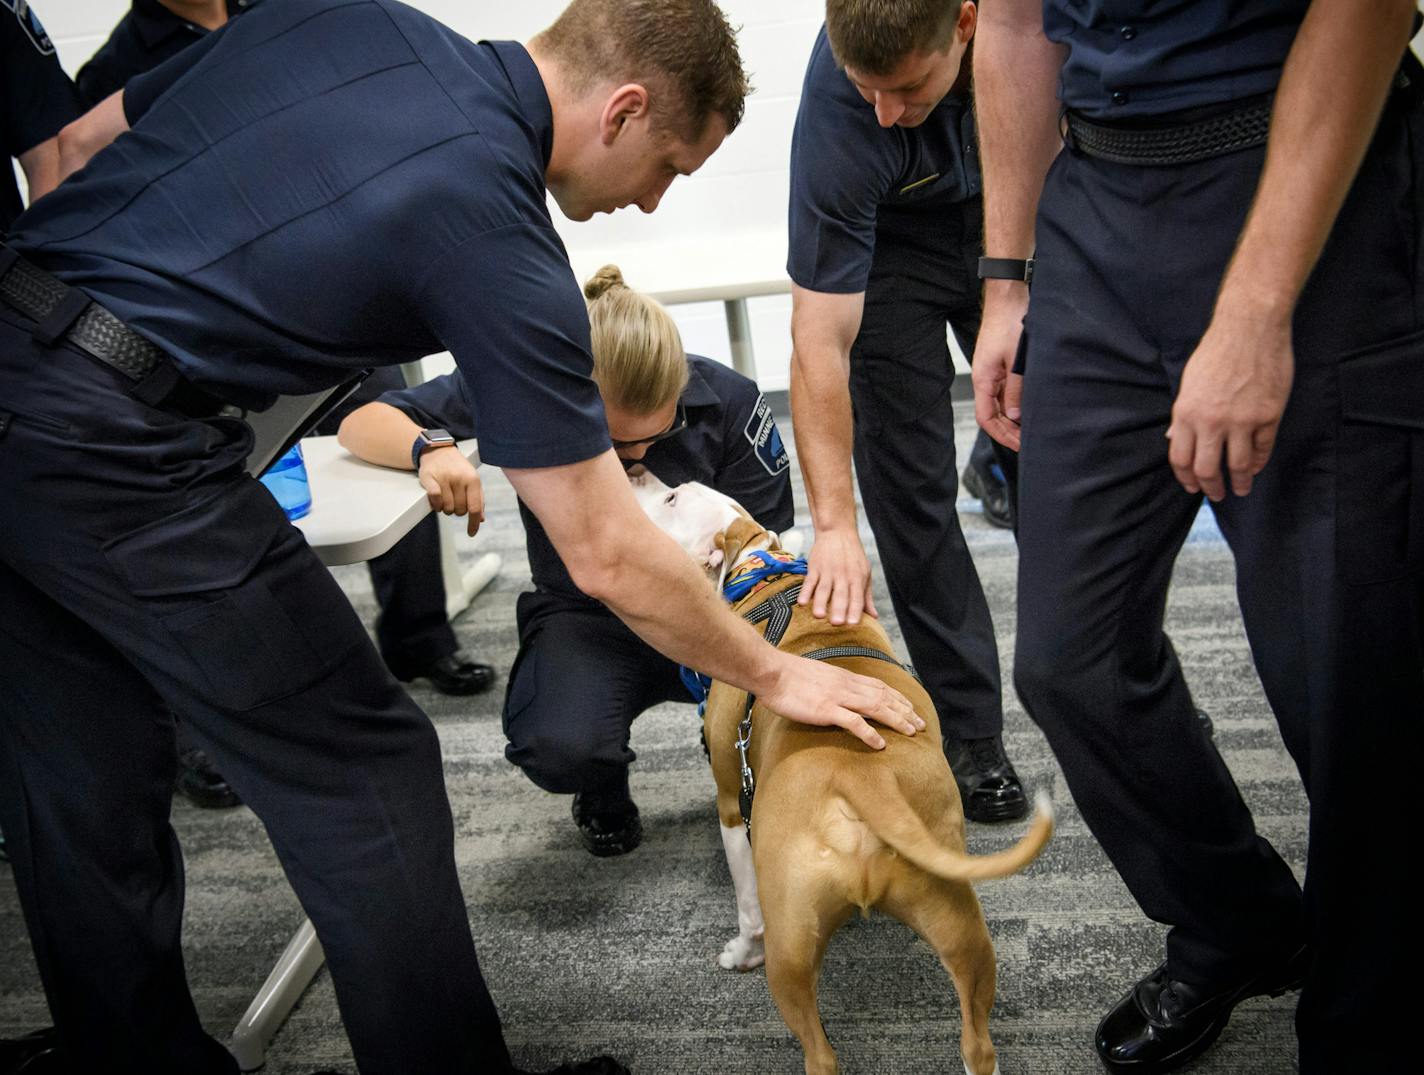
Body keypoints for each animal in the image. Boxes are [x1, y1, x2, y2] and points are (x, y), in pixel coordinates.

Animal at [637, 478, 1059, 1075]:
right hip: (959, 924)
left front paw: (740, 952)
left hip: (790, 949)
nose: (636, 471)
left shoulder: (730, 804)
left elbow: (746, 906)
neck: (762, 570)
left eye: (672, 497)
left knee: (820, 1050)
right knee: (978, 1044)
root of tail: (862, 778)